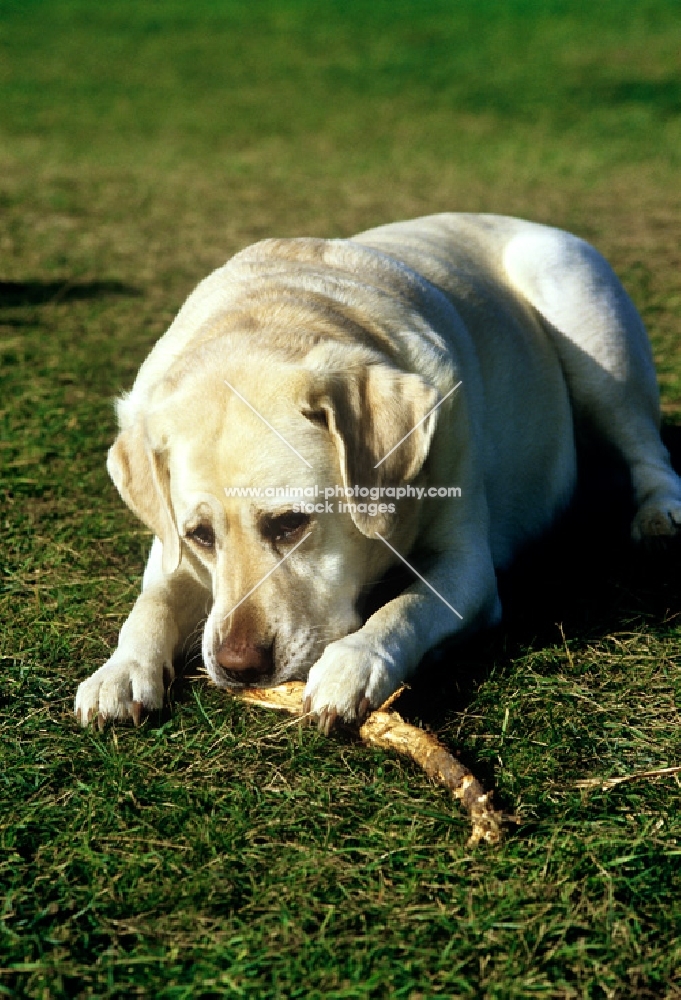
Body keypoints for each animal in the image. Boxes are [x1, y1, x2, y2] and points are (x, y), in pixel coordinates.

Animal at [73, 215, 680, 736]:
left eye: (291, 523)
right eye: (200, 536)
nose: (238, 666)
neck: (279, 316)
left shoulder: (468, 566)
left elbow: (405, 608)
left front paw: (354, 664)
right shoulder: (171, 552)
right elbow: (151, 605)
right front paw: (120, 671)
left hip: (587, 327)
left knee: (649, 449)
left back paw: (659, 514)